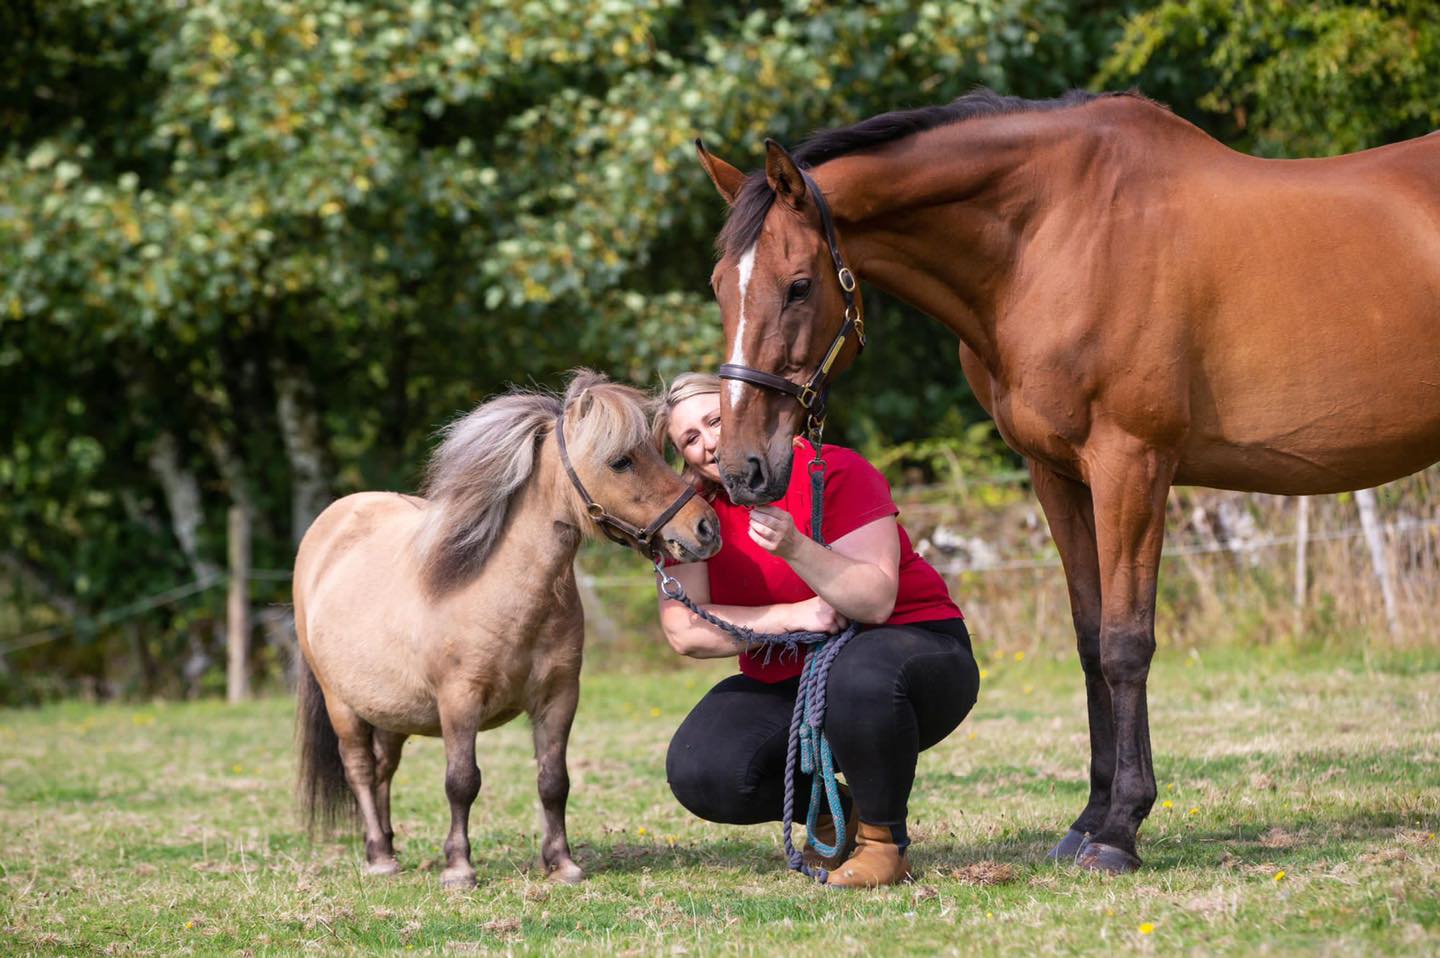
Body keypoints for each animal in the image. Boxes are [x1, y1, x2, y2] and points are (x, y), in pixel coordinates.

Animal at [293, 370, 720, 888]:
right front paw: (458, 868)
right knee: (359, 769)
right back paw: (378, 857)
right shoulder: (459, 702)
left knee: (383, 771)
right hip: (342, 704)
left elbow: (554, 780)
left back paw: (390, 848)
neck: (500, 589)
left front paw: (561, 863)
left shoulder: (559, 698)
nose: (705, 528)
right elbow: (462, 782)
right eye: (621, 461)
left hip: (392, 710)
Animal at [692, 89, 1440, 874]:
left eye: (799, 286)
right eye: (719, 288)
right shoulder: (1056, 473)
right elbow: (1088, 641)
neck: (1051, 240)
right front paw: (1089, 821)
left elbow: (1125, 641)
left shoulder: (1132, 465)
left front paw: (1119, 833)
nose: (743, 467)